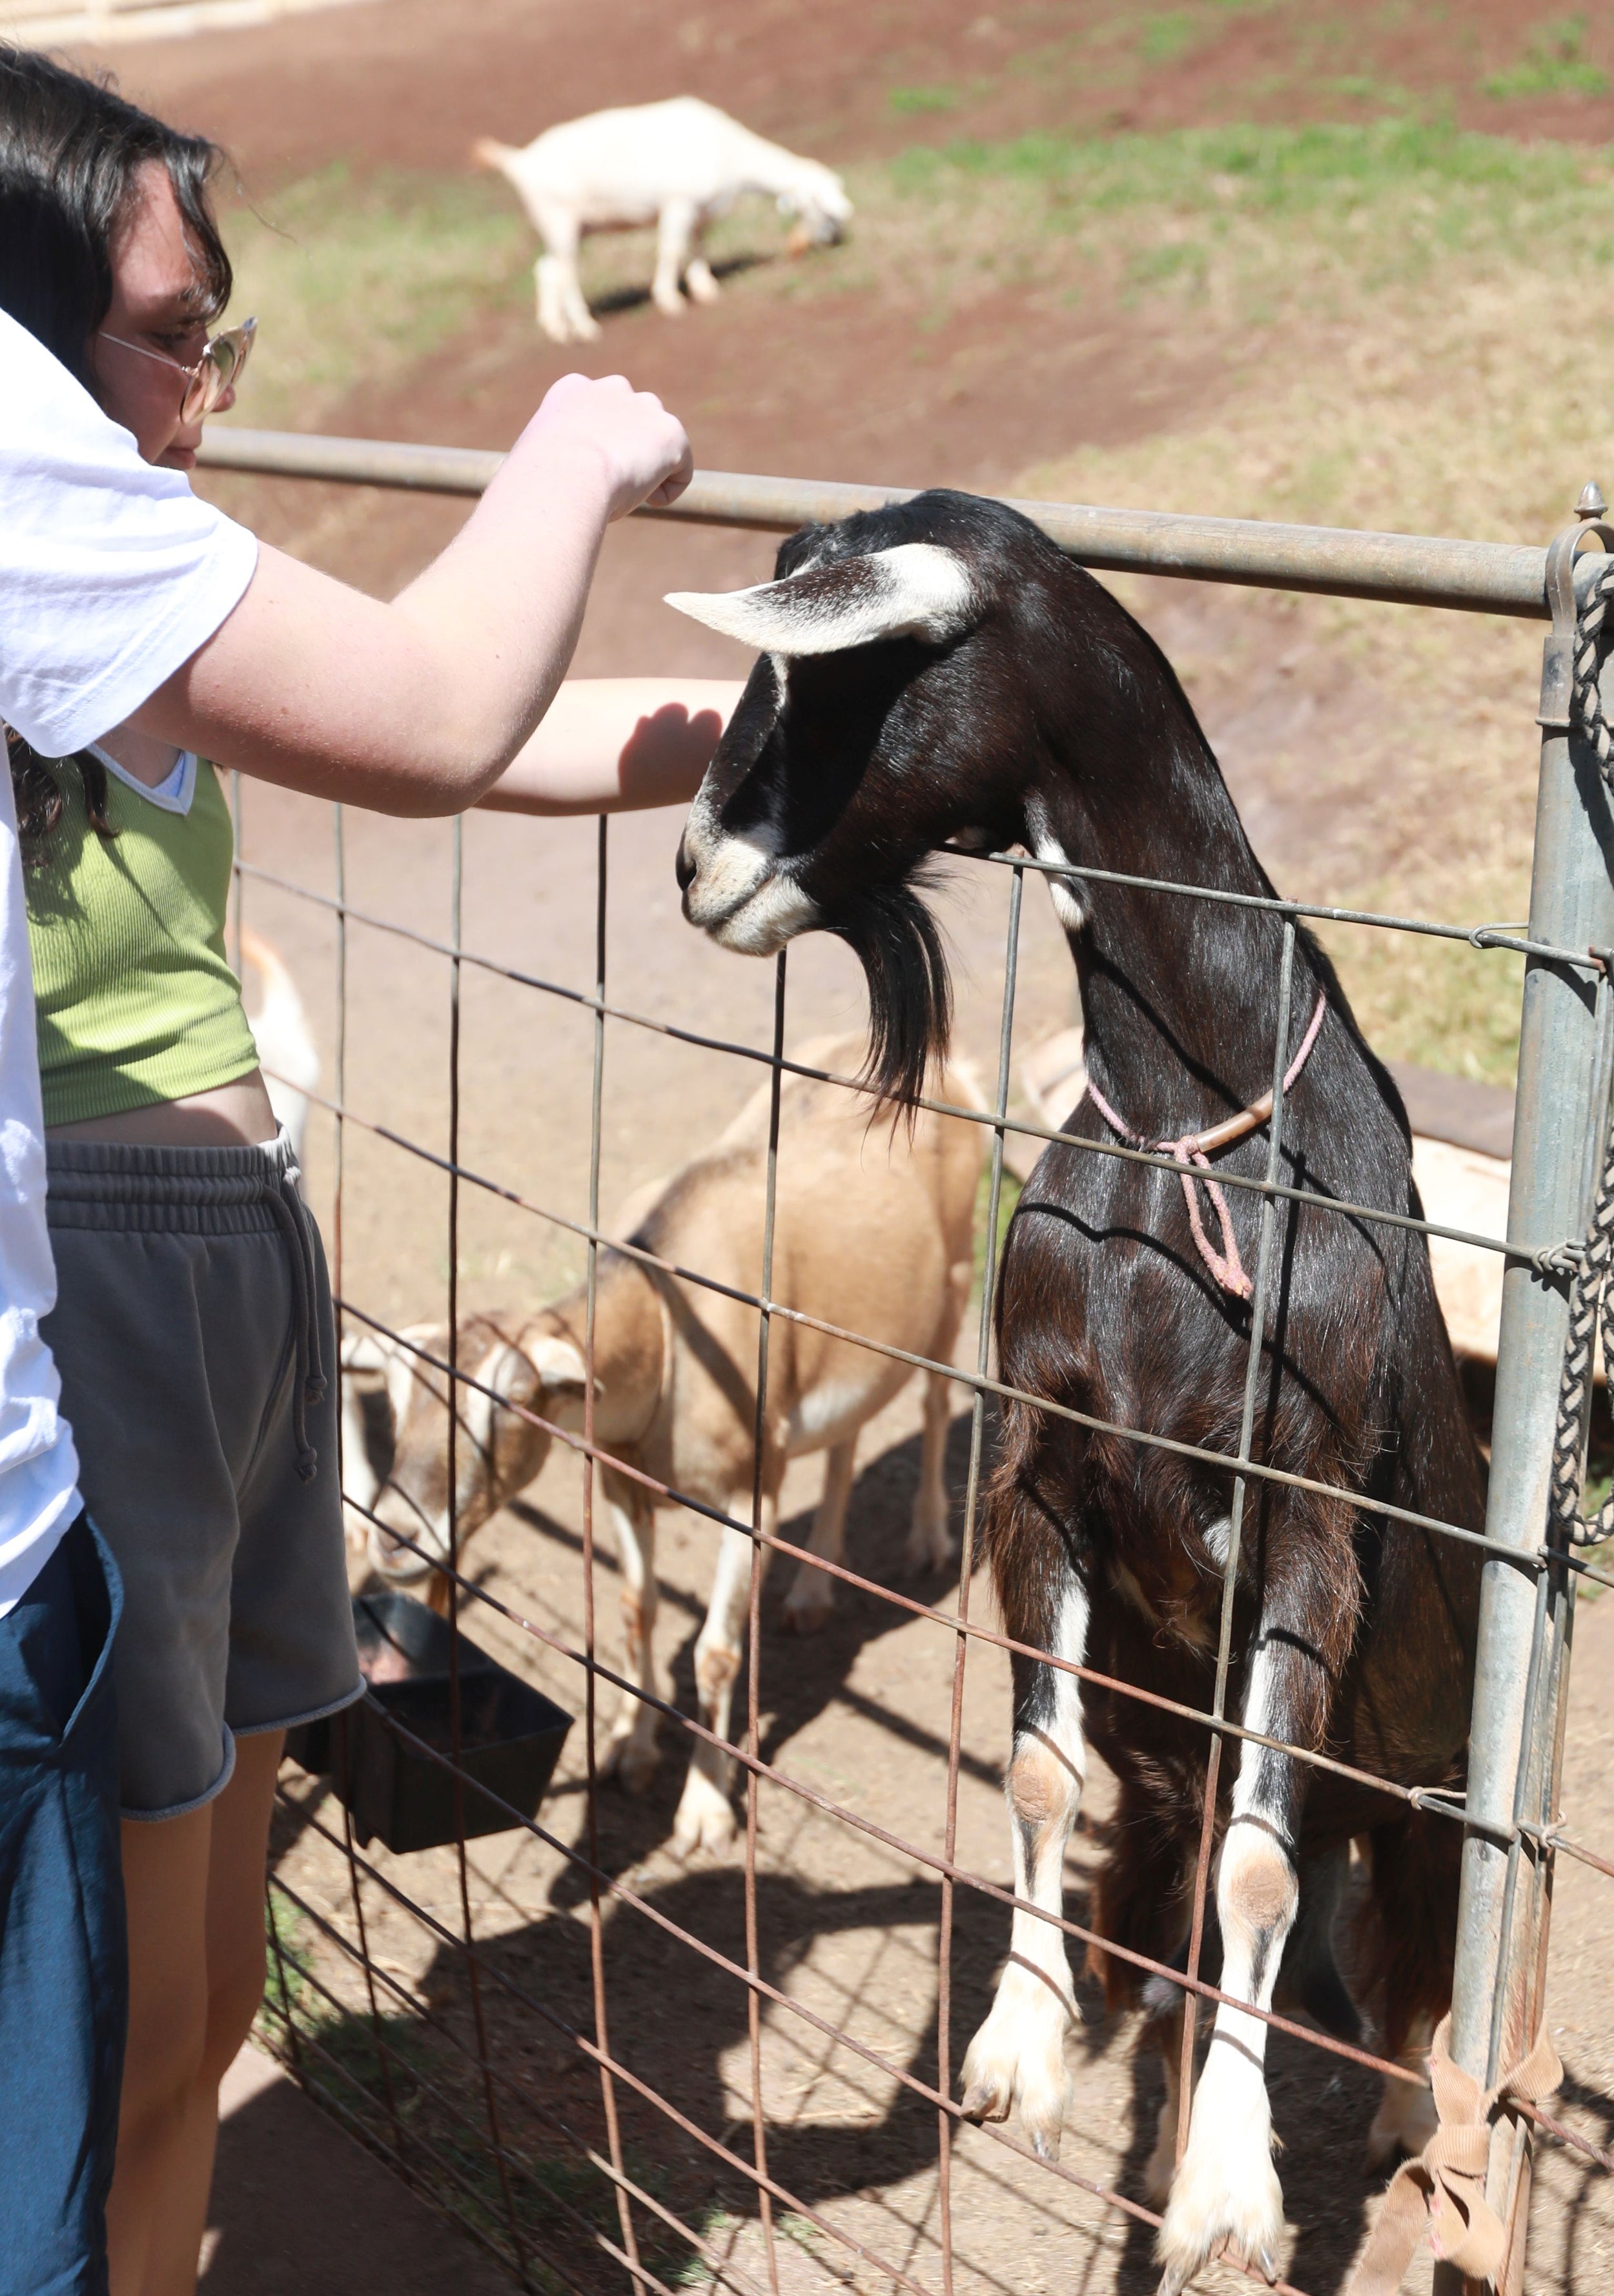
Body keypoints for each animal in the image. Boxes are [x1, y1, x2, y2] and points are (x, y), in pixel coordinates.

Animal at [341, 1039, 981, 1859]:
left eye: (509, 1402)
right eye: (394, 1392)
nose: (394, 1535)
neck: (669, 1327)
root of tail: (951, 1065)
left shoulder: (751, 1489)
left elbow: (716, 1652)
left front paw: (705, 1809)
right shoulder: (622, 1478)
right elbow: (634, 1611)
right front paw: (628, 1750)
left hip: (956, 1281)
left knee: (933, 1403)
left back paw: (927, 1538)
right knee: (849, 1437)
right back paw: (811, 1593)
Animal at [472, 97, 851, 344]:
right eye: (825, 211)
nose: (836, 242)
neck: (731, 154)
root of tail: (520, 160)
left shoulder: (701, 212)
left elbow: (698, 247)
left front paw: (705, 288)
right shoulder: (677, 205)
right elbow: (671, 250)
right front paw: (670, 300)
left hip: (569, 227)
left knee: (547, 269)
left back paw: (556, 328)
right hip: (559, 220)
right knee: (566, 273)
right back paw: (585, 327)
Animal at [666, 493, 1485, 2291]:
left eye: (840, 672)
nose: (695, 867)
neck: (1194, 1143)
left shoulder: (1302, 1525)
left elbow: (1263, 1870)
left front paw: (1233, 2195)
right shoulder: (1043, 1476)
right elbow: (1044, 1775)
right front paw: (1016, 2051)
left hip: (1434, 1766)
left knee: (1401, 1941)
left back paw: (1398, 2122)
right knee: (1185, 1911)